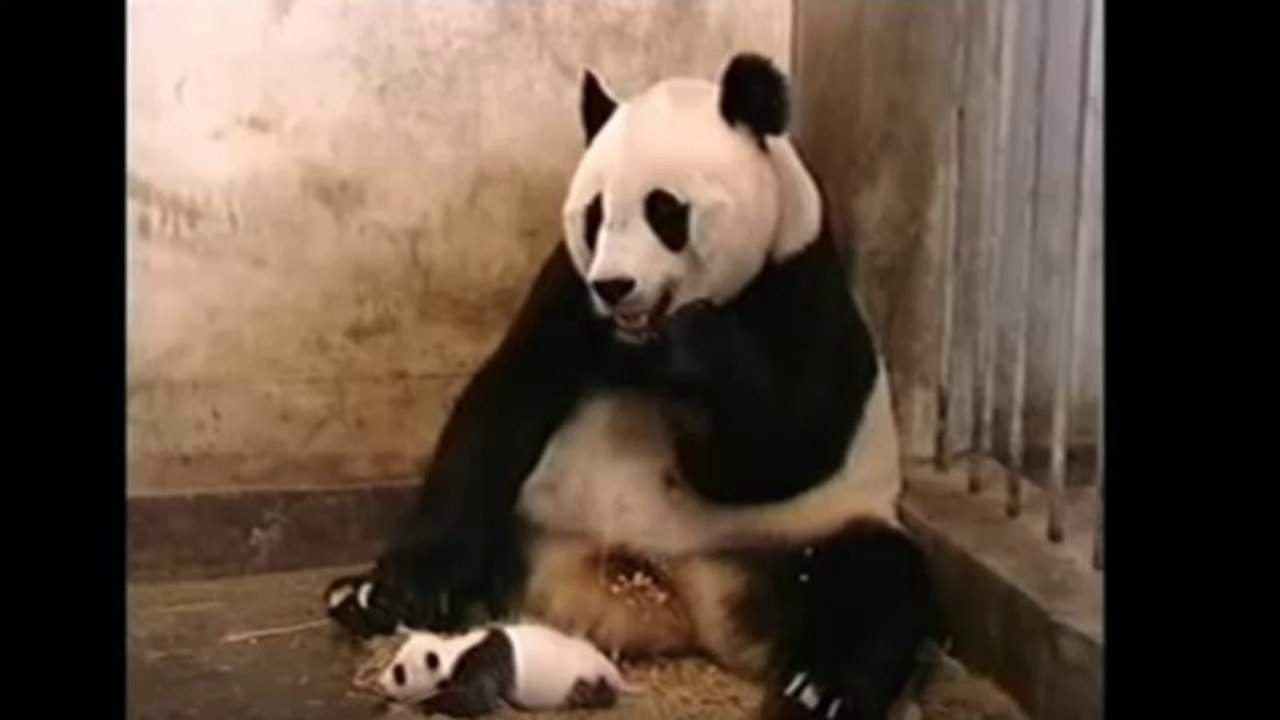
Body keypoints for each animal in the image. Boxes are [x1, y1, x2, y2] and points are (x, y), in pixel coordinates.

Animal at [326, 53, 939, 720]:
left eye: (665, 211)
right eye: (595, 215)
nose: (616, 286)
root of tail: (669, 602)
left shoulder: (802, 284)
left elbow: (783, 450)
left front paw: (696, 355)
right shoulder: (568, 289)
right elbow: (505, 401)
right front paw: (405, 586)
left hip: (799, 536)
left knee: (880, 579)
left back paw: (822, 686)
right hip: (534, 517)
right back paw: (364, 599)